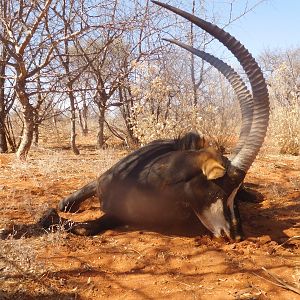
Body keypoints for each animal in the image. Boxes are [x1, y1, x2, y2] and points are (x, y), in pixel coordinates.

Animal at [40, 0, 270, 239]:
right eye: (220, 187)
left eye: (234, 188)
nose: (235, 234)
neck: (153, 184)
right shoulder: (97, 182)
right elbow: (62, 205)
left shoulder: (121, 215)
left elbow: (86, 227)